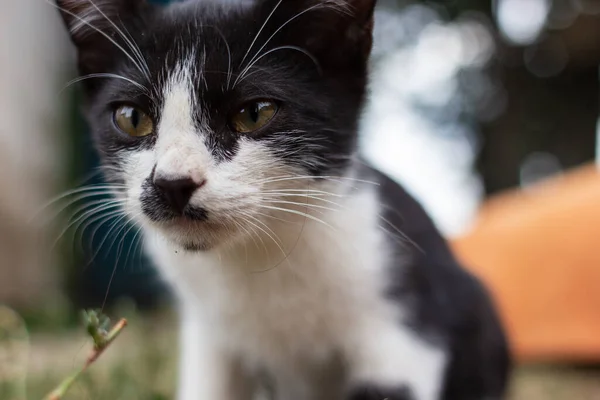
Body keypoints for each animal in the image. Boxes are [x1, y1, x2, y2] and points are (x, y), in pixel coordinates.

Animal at [56, 0, 510, 398]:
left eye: (254, 113)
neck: (260, 259)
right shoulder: (211, 336)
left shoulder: (405, 325)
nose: (173, 182)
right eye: (132, 118)